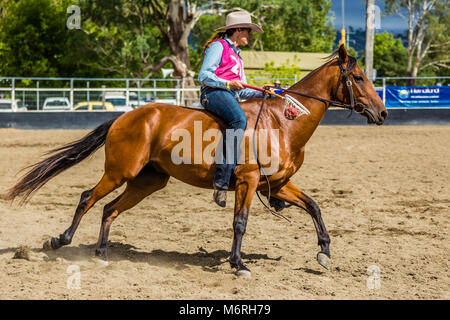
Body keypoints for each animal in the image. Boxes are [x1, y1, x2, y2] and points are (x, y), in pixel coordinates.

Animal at [5, 43, 386, 276]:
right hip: (119, 171)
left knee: (109, 209)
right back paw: (60, 240)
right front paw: (238, 264)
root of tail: (124, 116)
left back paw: (100, 254)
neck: (282, 121)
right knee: (88, 198)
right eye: (357, 77)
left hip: (148, 181)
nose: (382, 113)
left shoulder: (278, 184)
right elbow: (240, 222)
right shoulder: (248, 181)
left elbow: (314, 207)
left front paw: (324, 252)